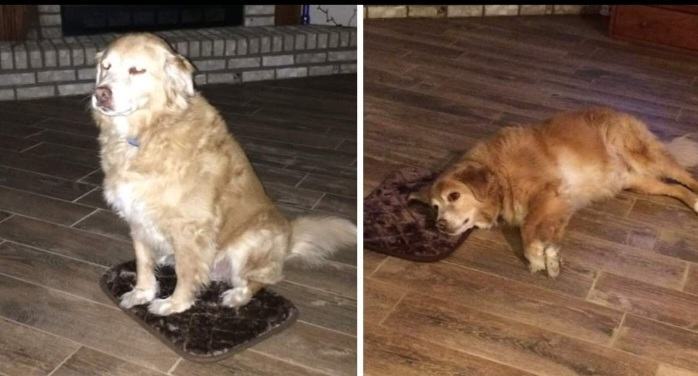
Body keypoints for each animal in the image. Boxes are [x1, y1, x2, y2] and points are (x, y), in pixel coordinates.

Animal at [90, 32, 356, 316]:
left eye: (137, 70)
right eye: (105, 67)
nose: (100, 94)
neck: (150, 132)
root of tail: (289, 240)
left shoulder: (190, 228)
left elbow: (186, 272)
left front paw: (175, 304)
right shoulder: (137, 217)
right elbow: (143, 262)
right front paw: (142, 292)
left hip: (249, 242)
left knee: (258, 281)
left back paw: (236, 296)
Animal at [410, 107, 696, 278]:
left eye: (454, 196)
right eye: (434, 207)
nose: (440, 225)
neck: (500, 175)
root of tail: (618, 112)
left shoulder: (548, 193)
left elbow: (528, 227)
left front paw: (536, 256)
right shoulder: (560, 204)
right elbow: (550, 233)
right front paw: (551, 256)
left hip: (645, 157)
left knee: (686, 177)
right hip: (637, 181)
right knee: (676, 188)